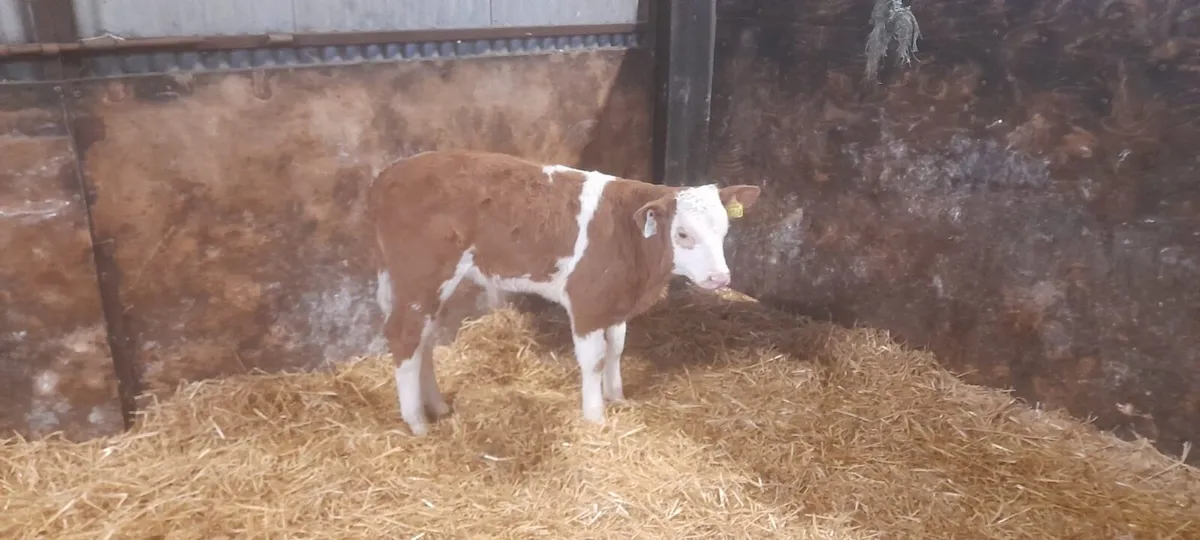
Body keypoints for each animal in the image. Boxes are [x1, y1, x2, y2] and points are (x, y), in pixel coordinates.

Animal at [369, 150, 761, 436]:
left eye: (725, 229)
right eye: (682, 234)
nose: (720, 277)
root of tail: (389, 172)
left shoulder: (615, 302)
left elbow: (616, 349)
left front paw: (617, 397)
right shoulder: (586, 301)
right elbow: (594, 359)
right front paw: (594, 416)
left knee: (424, 339)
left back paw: (436, 406)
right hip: (421, 275)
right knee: (404, 336)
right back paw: (417, 423)